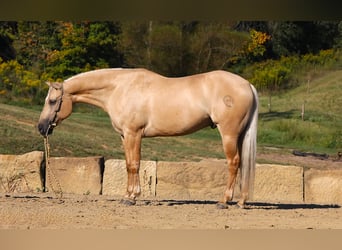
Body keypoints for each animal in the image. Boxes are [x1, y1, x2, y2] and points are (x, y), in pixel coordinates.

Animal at [37, 68, 258, 207]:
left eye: (52, 101)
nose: (41, 127)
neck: (119, 88)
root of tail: (247, 85)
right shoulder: (124, 136)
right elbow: (129, 164)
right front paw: (129, 195)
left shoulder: (133, 134)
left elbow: (134, 164)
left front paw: (131, 197)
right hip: (239, 135)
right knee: (242, 164)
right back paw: (241, 201)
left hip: (228, 134)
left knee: (233, 163)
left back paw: (224, 201)